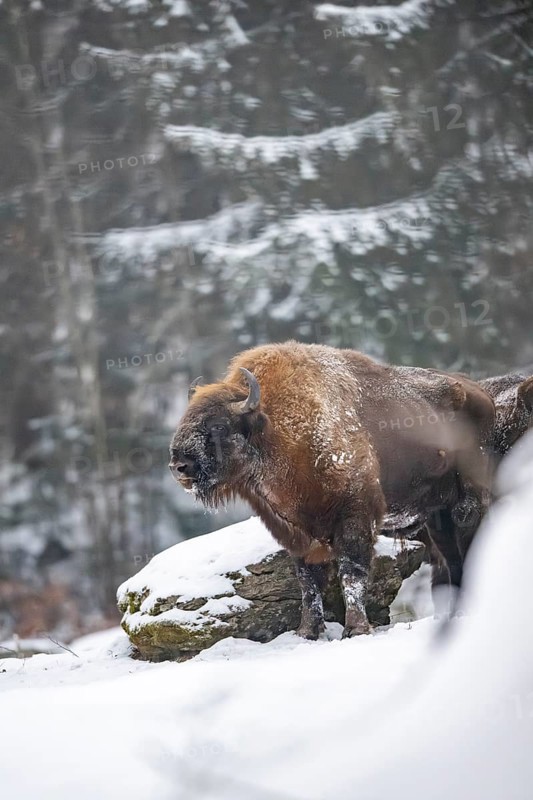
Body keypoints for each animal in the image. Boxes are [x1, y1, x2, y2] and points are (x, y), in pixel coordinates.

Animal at [169, 342, 494, 639]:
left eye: (219, 426)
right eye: (186, 417)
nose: (178, 465)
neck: (277, 429)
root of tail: (482, 395)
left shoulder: (355, 517)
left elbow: (351, 574)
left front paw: (356, 629)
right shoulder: (298, 533)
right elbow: (308, 583)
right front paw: (307, 631)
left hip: (466, 507)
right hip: (438, 517)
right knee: (453, 562)